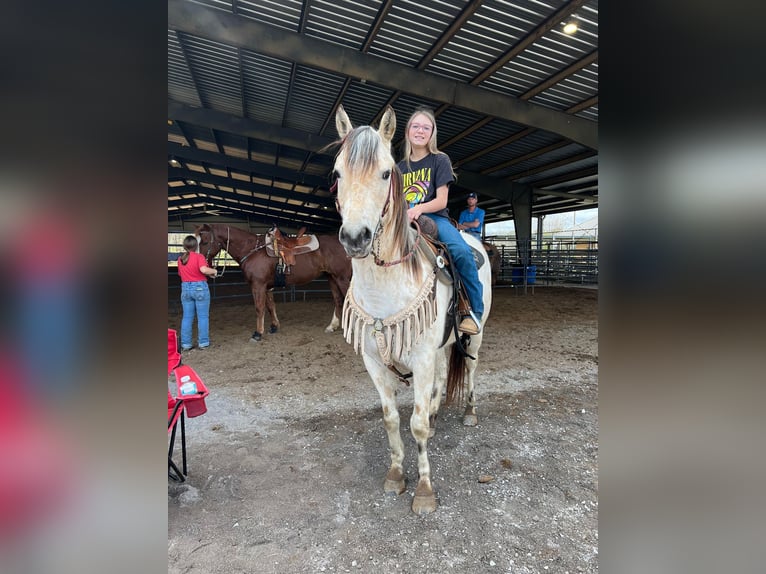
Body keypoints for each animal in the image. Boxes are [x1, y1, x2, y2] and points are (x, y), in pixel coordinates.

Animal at [196, 224, 356, 342]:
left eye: (204, 241)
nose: (199, 261)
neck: (252, 250)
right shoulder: (266, 287)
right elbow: (270, 306)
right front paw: (274, 327)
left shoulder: (258, 285)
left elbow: (259, 308)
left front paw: (257, 333)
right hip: (332, 278)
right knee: (338, 301)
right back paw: (332, 326)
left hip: (341, 278)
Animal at [334, 106, 492, 516]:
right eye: (337, 174)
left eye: (385, 173)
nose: (355, 238)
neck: (383, 289)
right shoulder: (375, 361)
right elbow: (391, 418)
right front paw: (395, 474)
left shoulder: (420, 358)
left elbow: (416, 424)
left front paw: (423, 489)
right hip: (440, 345)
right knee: (442, 376)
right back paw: (438, 415)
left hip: (475, 334)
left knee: (470, 368)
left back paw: (470, 413)